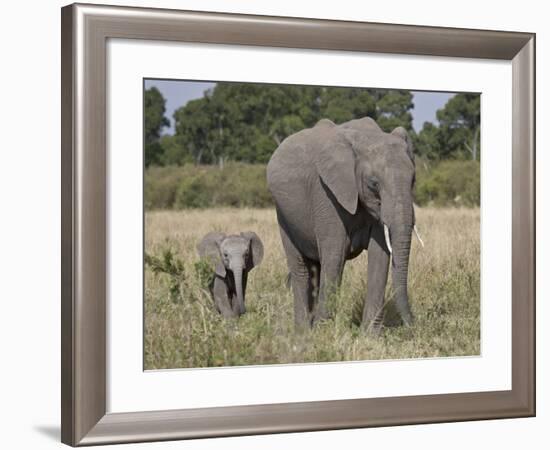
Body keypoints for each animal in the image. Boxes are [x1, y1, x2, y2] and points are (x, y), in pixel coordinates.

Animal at [268, 117, 422, 334]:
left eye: (413, 180)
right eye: (373, 184)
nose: (412, 326)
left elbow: (379, 257)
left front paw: (370, 335)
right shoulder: (326, 193)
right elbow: (335, 255)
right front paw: (323, 333)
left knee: (316, 268)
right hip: (283, 214)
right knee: (302, 268)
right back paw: (303, 332)